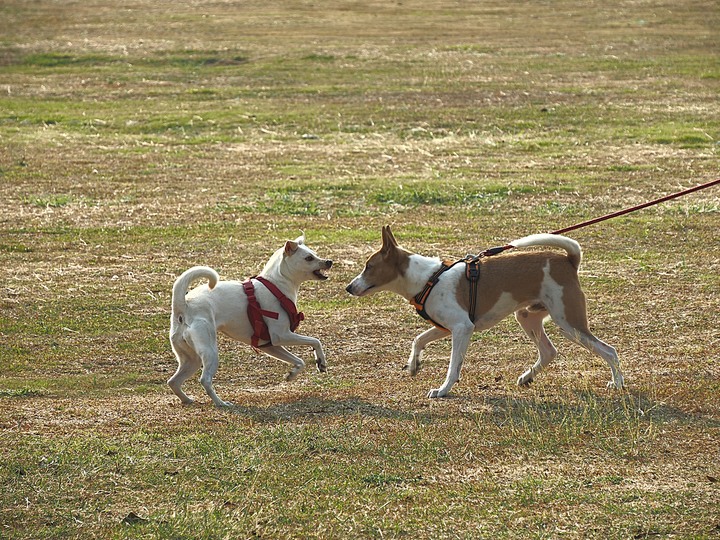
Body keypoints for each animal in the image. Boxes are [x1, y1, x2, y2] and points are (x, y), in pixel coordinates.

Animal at [170, 234, 334, 408]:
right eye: (309, 258)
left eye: (315, 253)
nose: (329, 261)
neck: (277, 284)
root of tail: (184, 305)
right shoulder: (281, 335)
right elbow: (315, 341)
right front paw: (321, 361)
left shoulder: (270, 346)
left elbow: (300, 361)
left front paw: (294, 373)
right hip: (210, 352)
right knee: (205, 380)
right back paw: (221, 403)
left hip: (191, 360)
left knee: (173, 382)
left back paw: (187, 400)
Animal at [344, 226, 624, 398]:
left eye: (369, 266)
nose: (348, 287)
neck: (427, 279)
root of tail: (568, 260)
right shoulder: (444, 327)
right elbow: (418, 339)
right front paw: (414, 365)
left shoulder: (462, 328)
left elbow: (453, 367)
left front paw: (443, 390)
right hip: (528, 317)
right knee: (548, 351)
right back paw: (527, 377)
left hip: (569, 321)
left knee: (609, 351)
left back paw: (618, 382)